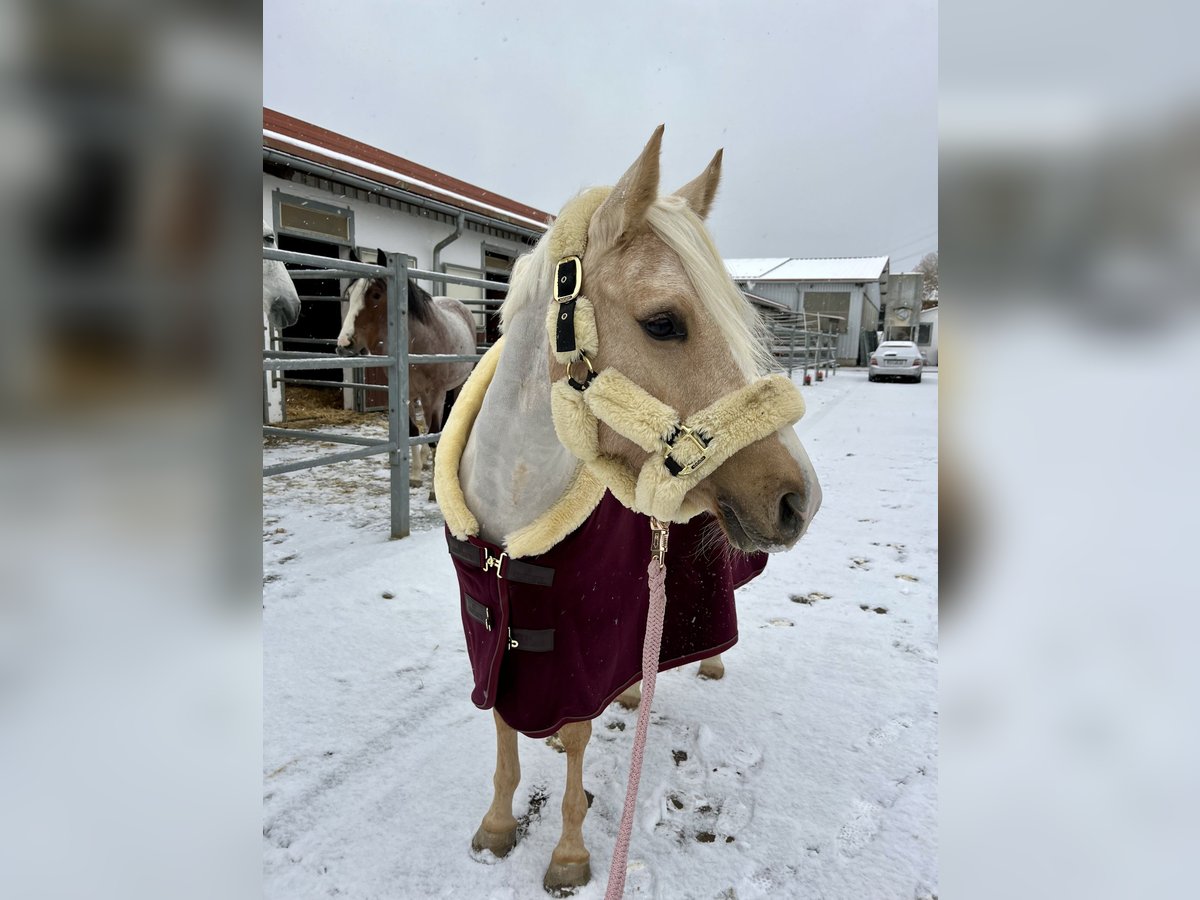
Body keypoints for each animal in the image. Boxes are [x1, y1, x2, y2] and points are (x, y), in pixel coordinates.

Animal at [336, 250, 475, 496]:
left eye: (376, 295)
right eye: (349, 294)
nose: (344, 344)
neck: (419, 342)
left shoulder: (435, 396)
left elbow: (434, 434)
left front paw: (434, 490)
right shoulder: (408, 395)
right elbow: (413, 432)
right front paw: (416, 476)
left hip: (456, 387)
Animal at [441, 127, 825, 897]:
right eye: (663, 323)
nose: (799, 497)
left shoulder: (580, 643)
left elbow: (576, 736)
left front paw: (568, 856)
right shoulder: (492, 634)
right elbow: (503, 727)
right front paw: (496, 828)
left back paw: (702, 667)